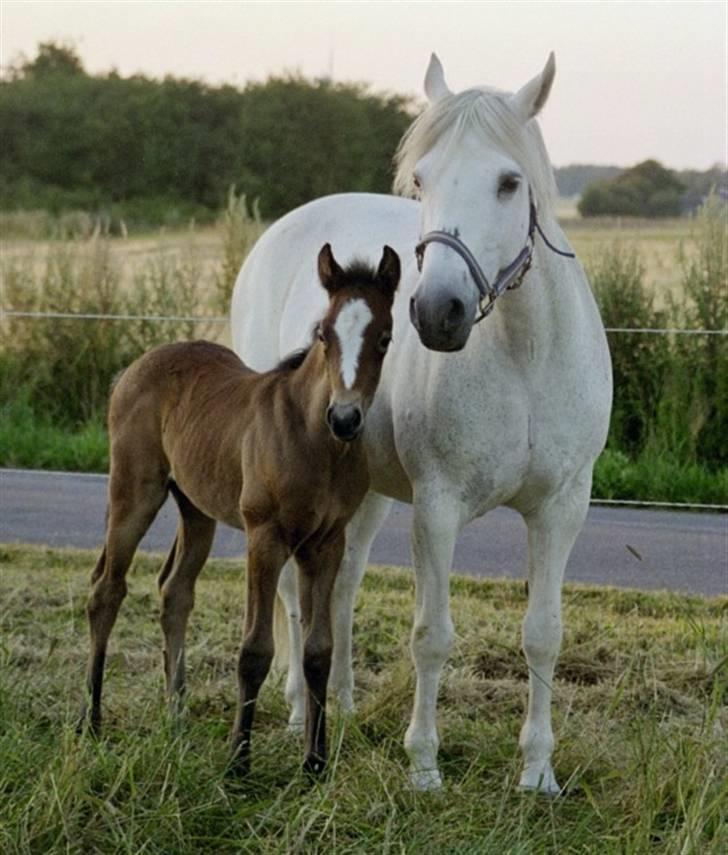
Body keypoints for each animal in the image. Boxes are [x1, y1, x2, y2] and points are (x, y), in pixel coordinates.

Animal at [82, 242, 400, 776]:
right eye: (323, 333)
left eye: (384, 338)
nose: (345, 418)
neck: (314, 441)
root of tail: (135, 367)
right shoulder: (264, 535)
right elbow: (255, 649)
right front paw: (238, 761)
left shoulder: (326, 542)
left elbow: (318, 650)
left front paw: (314, 762)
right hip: (134, 491)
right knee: (107, 589)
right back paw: (91, 721)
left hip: (196, 508)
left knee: (175, 590)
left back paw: (177, 716)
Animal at [230, 51, 612, 788]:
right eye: (422, 178)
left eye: (509, 182)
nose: (437, 312)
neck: (523, 357)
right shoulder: (437, 506)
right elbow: (431, 636)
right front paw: (424, 765)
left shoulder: (563, 506)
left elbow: (544, 634)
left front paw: (537, 772)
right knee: (292, 591)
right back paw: (296, 710)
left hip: (364, 492)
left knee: (339, 587)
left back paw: (342, 704)